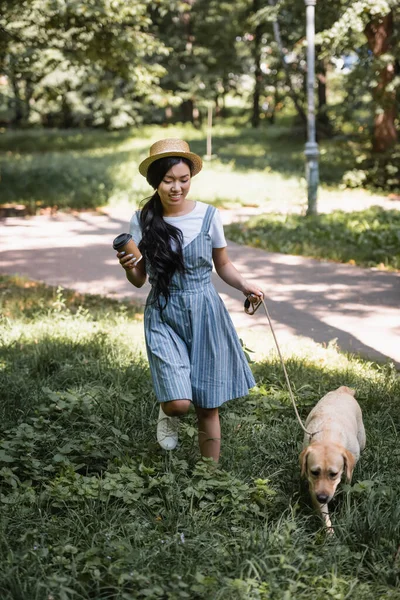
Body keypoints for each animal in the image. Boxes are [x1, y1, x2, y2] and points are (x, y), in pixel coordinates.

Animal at [300, 386, 366, 532]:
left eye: (333, 474)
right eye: (314, 472)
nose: (322, 498)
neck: (328, 433)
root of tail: (343, 390)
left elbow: (347, 487)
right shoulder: (314, 487)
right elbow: (324, 515)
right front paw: (329, 532)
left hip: (362, 439)